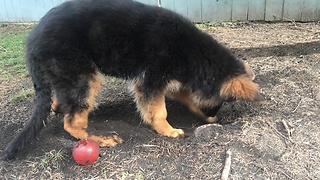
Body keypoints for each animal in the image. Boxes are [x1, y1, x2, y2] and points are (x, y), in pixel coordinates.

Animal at [0, 0, 264, 160]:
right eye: (225, 99)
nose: (214, 117)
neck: (194, 53)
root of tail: (32, 42)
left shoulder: (170, 79)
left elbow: (187, 97)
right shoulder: (151, 81)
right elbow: (159, 111)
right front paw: (169, 131)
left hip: (67, 77)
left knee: (63, 102)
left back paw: (57, 106)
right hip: (84, 78)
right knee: (72, 122)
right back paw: (99, 138)